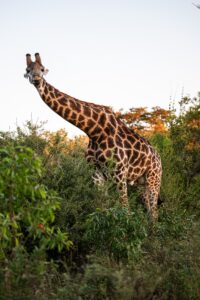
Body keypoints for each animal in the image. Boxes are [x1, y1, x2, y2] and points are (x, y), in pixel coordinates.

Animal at [24, 52, 162, 220]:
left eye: (42, 69)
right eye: (28, 70)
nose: (37, 80)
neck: (94, 130)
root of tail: (159, 157)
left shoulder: (119, 173)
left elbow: (125, 211)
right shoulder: (96, 174)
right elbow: (101, 208)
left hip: (153, 178)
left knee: (154, 212)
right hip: (141, 182)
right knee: (149, 210)